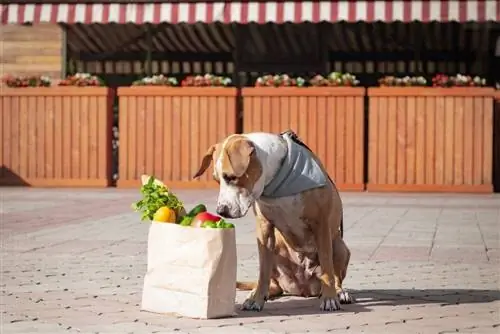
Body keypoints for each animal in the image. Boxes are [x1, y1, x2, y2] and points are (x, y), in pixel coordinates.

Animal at [193, 132, 354, 312]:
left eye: (232, 177)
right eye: (217, 180)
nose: (221, 211)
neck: (275, 184)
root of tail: (303, 289)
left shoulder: (321, 224)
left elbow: (327, 266)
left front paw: (329, 298)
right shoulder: (264, 229)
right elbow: (263, 270)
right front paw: (256, 299)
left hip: (339, 246)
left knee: (335, 275)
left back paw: (339, 292)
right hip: (277, 248)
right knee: (273, 283)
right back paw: (259, 292)